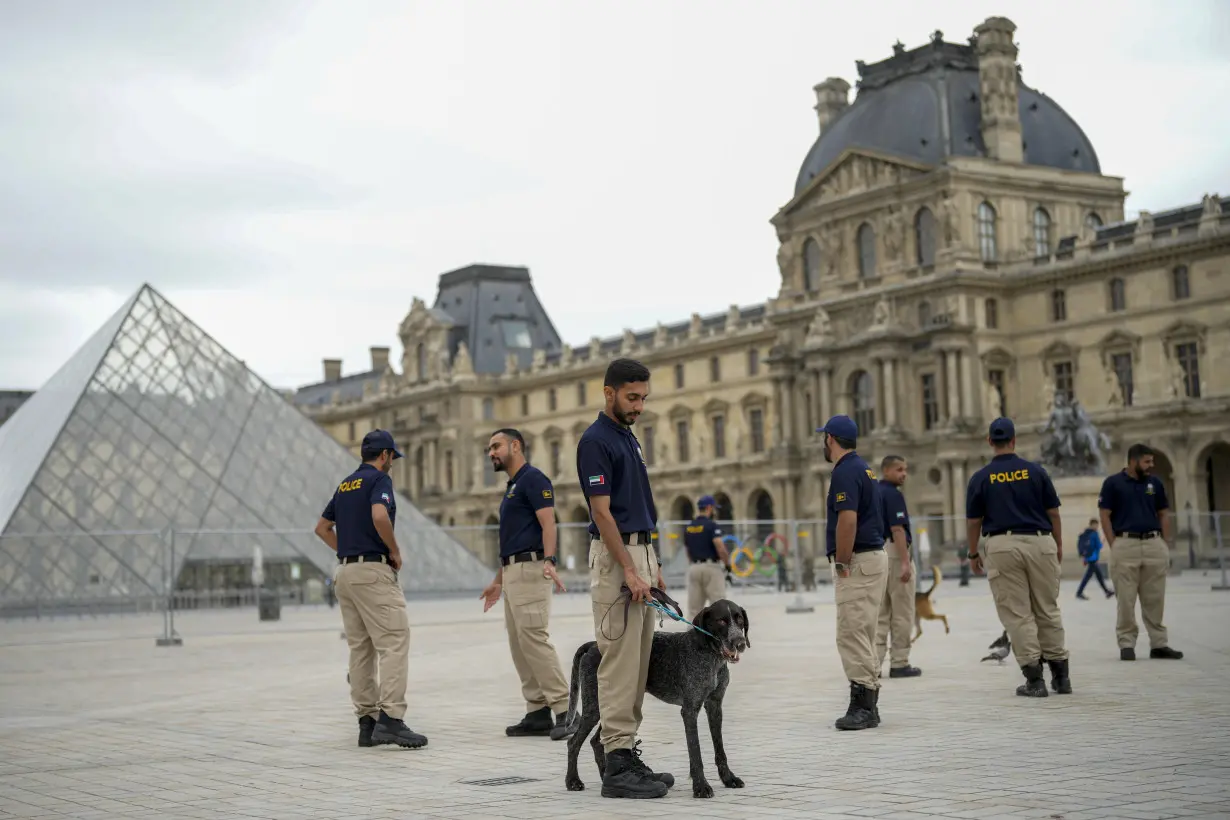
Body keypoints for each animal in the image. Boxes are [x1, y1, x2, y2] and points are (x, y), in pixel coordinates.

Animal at [563, 599, 747, 796]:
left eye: (739, 619)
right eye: (721, 621)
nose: (740, 643)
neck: (711, 656)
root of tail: (592, 644)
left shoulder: (714, 706)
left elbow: (720, 749)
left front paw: (728, 778)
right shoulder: (690, 711)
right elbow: (695, 751)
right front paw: (700, 786)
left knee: (597, 741)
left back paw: (607, 776)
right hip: (594, 707)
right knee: (573, 743)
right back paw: (573, 781)